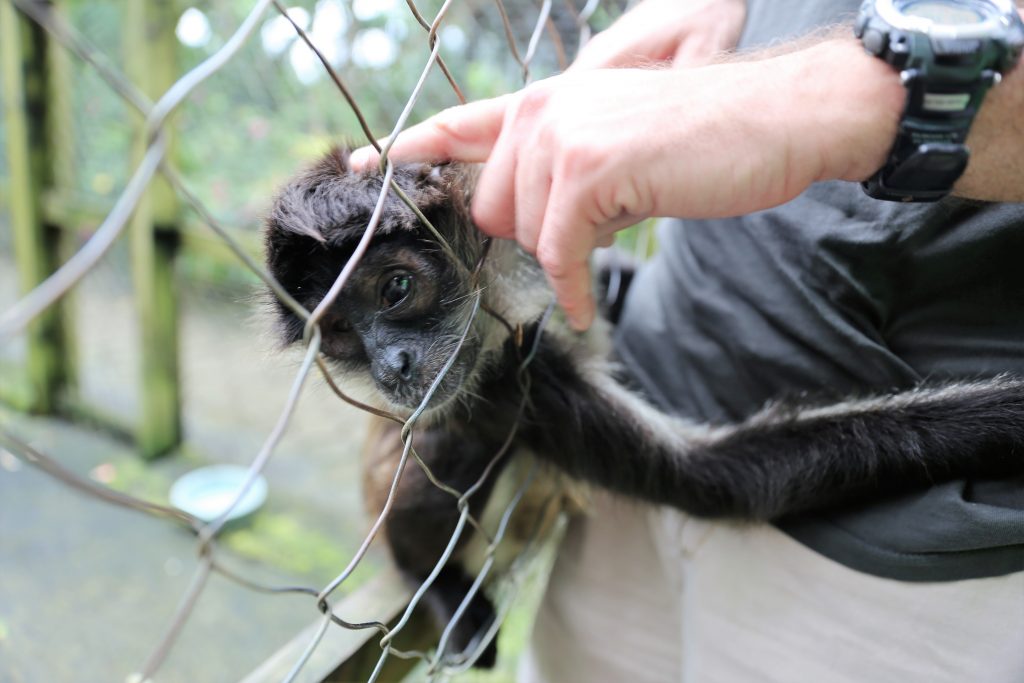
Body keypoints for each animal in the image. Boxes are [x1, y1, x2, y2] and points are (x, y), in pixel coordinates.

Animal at [266, 148, 1024, 667]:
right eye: (341, 334)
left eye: (396, 288)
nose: (390, 365)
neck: (508, 298)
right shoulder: (506, 378)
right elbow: (717, 477)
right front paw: (1011, 415)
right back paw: (439, 586)